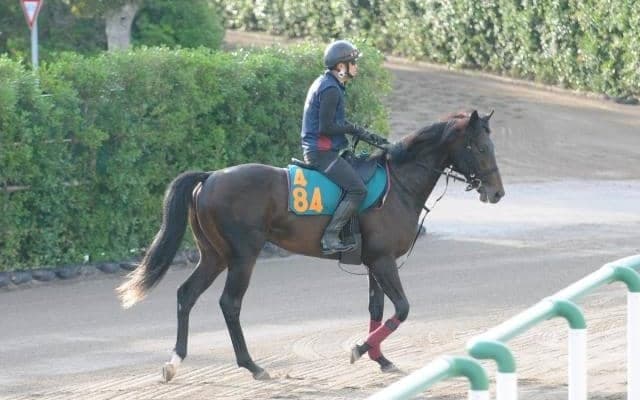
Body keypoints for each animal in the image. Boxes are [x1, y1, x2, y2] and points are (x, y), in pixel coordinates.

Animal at [117, 109, 504, 382]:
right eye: (481, 147)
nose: (497, 192)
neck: (399, 184)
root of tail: (210, 176)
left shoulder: (374, 263)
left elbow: (377, 309)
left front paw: (379, 357)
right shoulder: (383, 261)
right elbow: (402, 309)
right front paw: (359, 348)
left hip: (214, 255)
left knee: (186, 294)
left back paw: (174, 362)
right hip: (242, 256)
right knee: (229, 304)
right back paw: (252, 365)